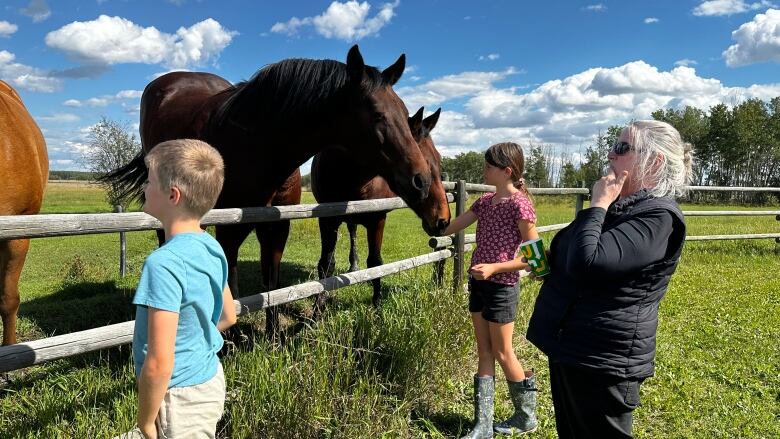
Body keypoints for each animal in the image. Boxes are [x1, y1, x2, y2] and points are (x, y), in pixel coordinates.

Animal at [106, 43, 430, 334]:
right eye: (376, 114)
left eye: (404, 112)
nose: (422, 180)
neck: (258, 144)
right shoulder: (229, 226)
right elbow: (229, 276)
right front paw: (229, 336)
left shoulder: (276, 226)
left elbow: (271, 281)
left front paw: (272, 336)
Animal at [310, 107, 448, 310]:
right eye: (425, 162)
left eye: (439, 160)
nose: (443, 219)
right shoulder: (327, 218)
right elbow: (326, 264)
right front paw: (318, 307)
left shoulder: (378, 219)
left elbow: (376, 263)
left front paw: (377, 307)